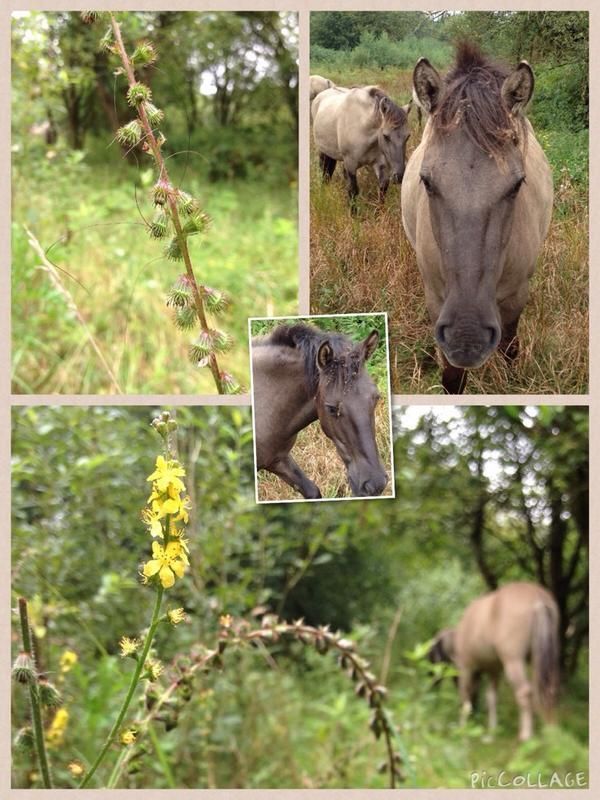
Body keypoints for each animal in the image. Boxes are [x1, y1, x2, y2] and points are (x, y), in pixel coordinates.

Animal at [404, 43, 552, 394]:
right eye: (427, 182)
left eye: (517, 184)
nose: (466, 338)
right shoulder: (437, 300)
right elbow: (452, 376)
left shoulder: (516, 297)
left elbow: (510, 347)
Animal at [428, 580, 560, 744]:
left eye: (432, 657)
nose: (432, 684)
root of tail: (538, 597)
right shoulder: (494, 670)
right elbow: (491, 698)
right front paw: (491, 732)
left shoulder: (466, 669)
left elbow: (465, 696)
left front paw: (463, 729)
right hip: (539, 659)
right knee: (547, 690)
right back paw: (551, 731)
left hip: (513, 662)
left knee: (524, 692)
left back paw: (526, 735)